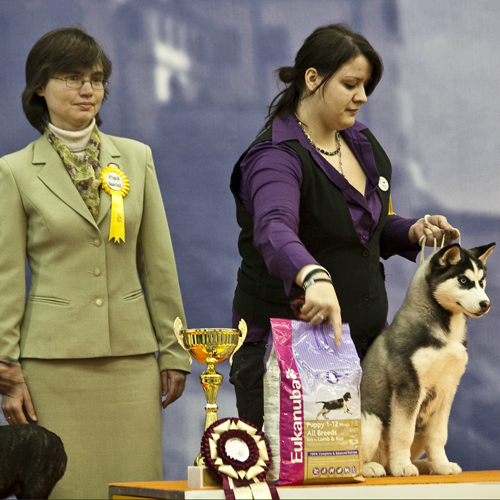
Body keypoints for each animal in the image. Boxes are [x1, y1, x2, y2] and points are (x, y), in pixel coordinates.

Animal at [362, 242, 494, 476]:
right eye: (463, 280)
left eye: (481, 281)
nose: (485, 304)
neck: (447, 333)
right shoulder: (408, 385)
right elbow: (403, 433)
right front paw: (403, 467)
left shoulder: (447, 389)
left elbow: (439, 436)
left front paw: (441, 465)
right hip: (371, 422)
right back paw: (373, 467)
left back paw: (423, 465)